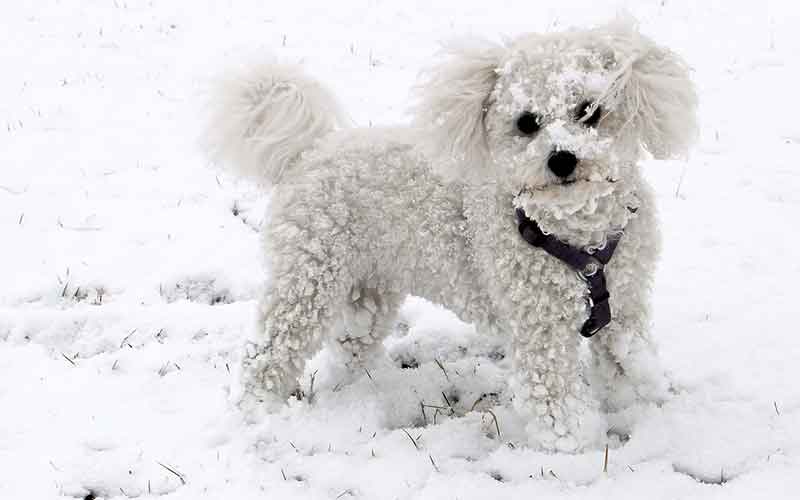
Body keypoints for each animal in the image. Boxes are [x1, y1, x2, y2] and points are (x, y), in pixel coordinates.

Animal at [209, 19, 696, 452]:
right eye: (526, 122)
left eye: (589, 111)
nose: (562, 159)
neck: (578, 238)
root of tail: (309, 151)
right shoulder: (538, 329)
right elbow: (553, 396)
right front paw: (575, 445)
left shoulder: (625, 304)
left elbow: (624, 359)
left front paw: (634, 399)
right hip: (307, 280)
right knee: (267, 352)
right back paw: (258, 409)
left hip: (368, 288)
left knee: (351, 345)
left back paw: (363, 392)